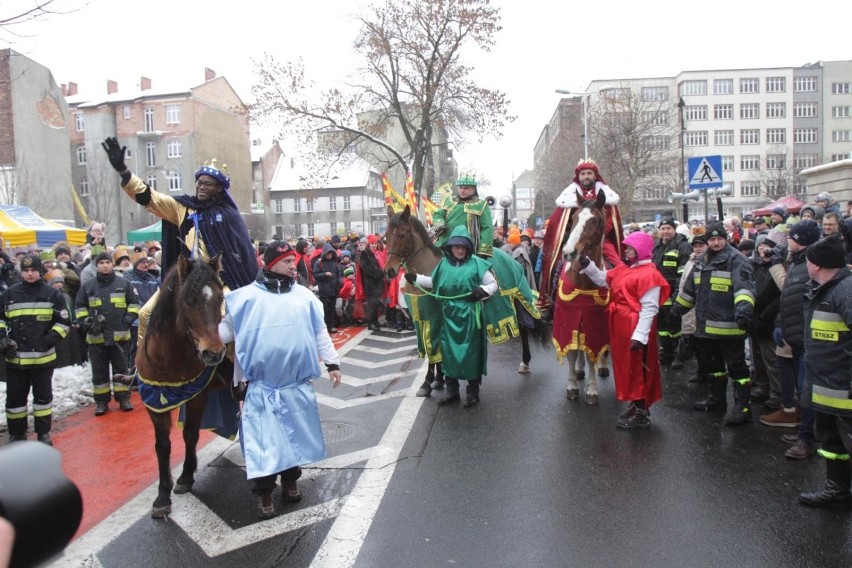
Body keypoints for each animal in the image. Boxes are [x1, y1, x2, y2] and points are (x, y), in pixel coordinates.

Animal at [135, 258, 231, 520]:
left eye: (220, 297)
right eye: (188, 300)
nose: (214, 353)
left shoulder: (198, 397)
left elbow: (190, 433)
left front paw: (186, 476)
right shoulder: (155, 404)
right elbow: (162, 445)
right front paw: (162, 496)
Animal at [552, 189, 612, 402]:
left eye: (595, 220)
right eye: (574, 218)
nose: (569, 252)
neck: (583, 283)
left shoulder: (595, 323)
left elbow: (591, 354)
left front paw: (591, 390)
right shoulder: (567, 320)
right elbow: (572, 351)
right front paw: (572, 386)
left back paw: (602, 367)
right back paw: (578, 371)